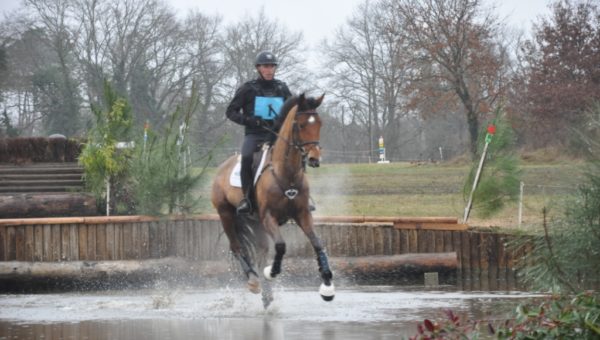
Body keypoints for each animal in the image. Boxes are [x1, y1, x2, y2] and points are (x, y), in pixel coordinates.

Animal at [211, 93, 336, 308]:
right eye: (300, 125)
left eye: (319, 123)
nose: (314, 159)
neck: (287, 174)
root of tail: (222, 167)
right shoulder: (269, 217)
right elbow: (281, 246)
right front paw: (271, 272)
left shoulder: (302, 214)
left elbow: (318, 244)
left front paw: (327, 284)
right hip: (226, 214)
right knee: (237, 247)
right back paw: (254, 280)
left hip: (254, 222)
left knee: (260, 251)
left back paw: (267, 294)